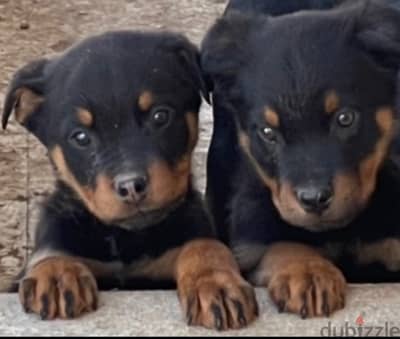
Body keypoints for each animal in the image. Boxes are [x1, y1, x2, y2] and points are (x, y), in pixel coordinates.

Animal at [1, 30, 258, 330]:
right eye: (80, 137)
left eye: (160, 116)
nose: (130, 186)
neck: (125, 238)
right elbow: (49, 250)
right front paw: (56, 273)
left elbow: (204, 245)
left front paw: (215, 281)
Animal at [203, 0, 400, 318]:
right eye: (268, 132)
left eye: (345, 118)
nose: (313, 199)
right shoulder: (252, 235)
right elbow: (283, 243)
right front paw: (307, 273)